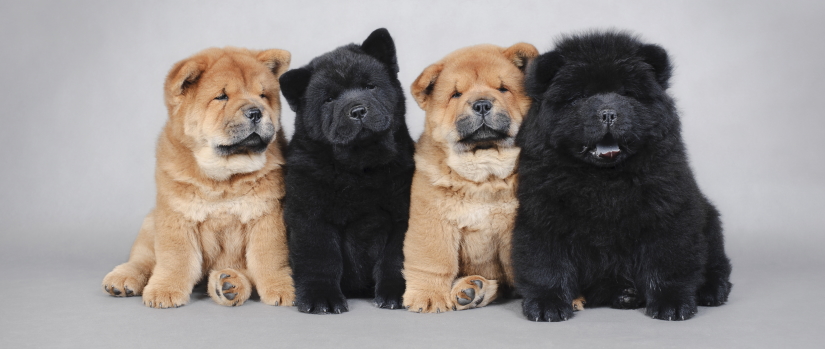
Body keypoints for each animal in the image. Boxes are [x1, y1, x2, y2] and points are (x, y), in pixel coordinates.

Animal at [102, 47, 296, 308]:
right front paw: (165, 290)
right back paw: (122, 279)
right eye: (222, 97)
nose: (256, 111)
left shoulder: (267, 214)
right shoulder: (177, 215)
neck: (224, 176)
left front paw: (282, 288)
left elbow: (269, 258)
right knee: (143, 259)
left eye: (263, 95)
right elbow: (176, 259)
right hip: (150, 224)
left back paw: (230, 284)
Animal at [280, 28, 416, 314]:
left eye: (369, 86)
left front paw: (396, 295)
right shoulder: (310, 214)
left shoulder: (402, 215)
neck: (359, 170)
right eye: (329, 99)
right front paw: (321, 299)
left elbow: (394, 259)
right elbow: (320, 258)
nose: (357, 110)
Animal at [402, 43, 544, 312]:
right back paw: (470, 289)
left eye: (502, 88)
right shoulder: (433, 218)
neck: (483, 174)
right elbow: (433, 261)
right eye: (456, 94)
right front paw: (427, 296)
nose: (482, 104)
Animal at [512, 30, 732, 320]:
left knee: (718, 264)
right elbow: (546, 264)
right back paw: (626, 294)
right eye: (579, 97)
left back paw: (711, 291)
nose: (607, 113)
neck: (605, 181)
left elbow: (668, 262)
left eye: (627, 94)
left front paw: (672, 303)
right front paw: (547, 304)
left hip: (709, 220)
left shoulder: (667, 212)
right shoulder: (543, 215)